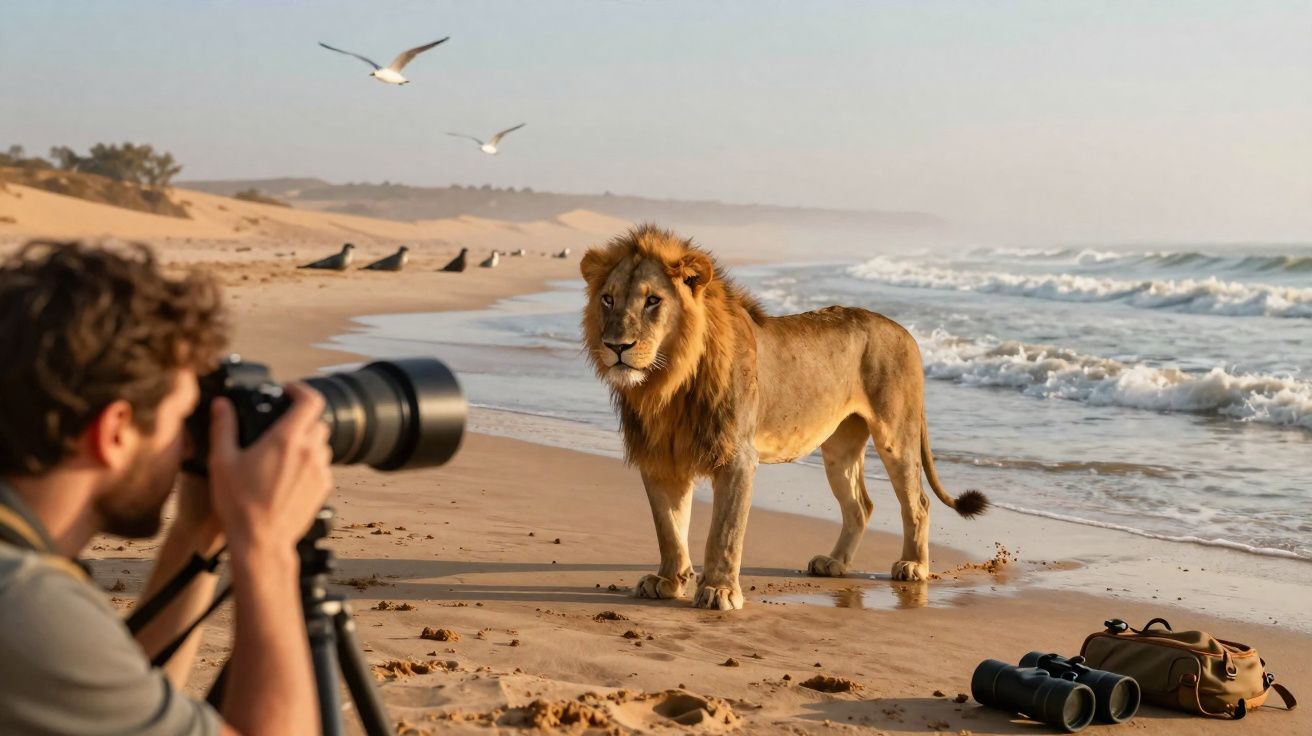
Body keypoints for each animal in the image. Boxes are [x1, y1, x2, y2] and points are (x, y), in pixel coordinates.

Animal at [580, 225, 987, 611]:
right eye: (608, 299)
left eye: (653, 300)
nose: (616, 346)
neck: (667, 384)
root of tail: (906, 333)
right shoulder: (660, 457)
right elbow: (669, 528)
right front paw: (668, 581)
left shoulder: (738, 457)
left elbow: (724, 532)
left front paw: (719, 590)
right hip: (839, 449)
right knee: (861, 505)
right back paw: (834, 563)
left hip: (895, 434)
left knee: (918, 503)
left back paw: (913, 566)